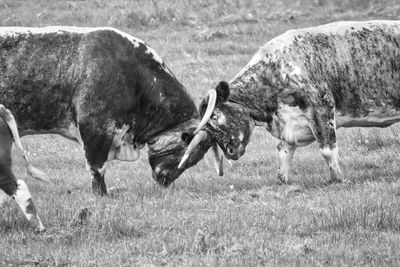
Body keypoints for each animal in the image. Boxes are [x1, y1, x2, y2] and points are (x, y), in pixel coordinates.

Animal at [180, 20, 400, 184]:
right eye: (208, 129)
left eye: (216, 116)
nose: (230, 152)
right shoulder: (290, 125)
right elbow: (283, 152)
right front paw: (282, 180)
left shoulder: (321, 107)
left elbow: (327, 150)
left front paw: (339, 179)